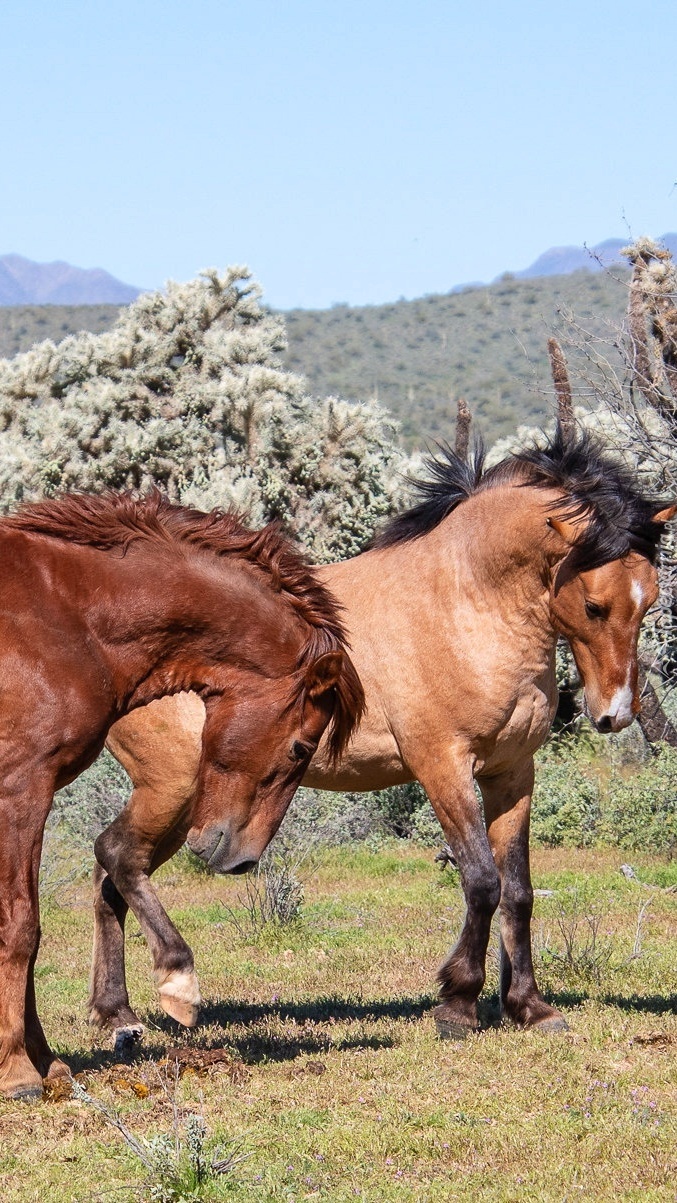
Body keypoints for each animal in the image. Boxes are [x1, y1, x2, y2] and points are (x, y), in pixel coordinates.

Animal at [0, 490, 365, 1101]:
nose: (241, 859)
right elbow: (21, 926)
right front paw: (17, 1070)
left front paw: (45, 1061)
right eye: (300, 748)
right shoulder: (21, 788)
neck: (64, 614)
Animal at [91, 430, 677, 1044]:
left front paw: (530, 1007)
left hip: (186, 806)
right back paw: (173, 988)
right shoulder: (443, 765)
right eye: (594, 604)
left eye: (650, 600)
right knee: (117, 857)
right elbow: (481, 881)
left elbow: (518, 890)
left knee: (111, 877)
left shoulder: (511, 773)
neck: (466, 602)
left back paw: (118, 1014)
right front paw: (457, 1003)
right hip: (174, 790)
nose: (615, 715)